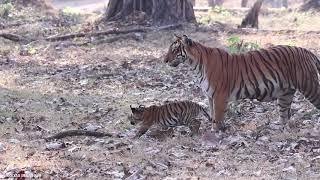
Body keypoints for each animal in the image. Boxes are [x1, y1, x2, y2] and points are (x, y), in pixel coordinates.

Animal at [165, 34, 320, 131]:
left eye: (174, 49)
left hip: (309, 86)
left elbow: (218, 116)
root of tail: (306, 51)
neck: (195, 64)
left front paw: (215, 133)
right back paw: (277, 128)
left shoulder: (219, 95)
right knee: (284, 116)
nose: (164, 60)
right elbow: (213, 114)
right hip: (285, 94)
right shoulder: (210, 96)